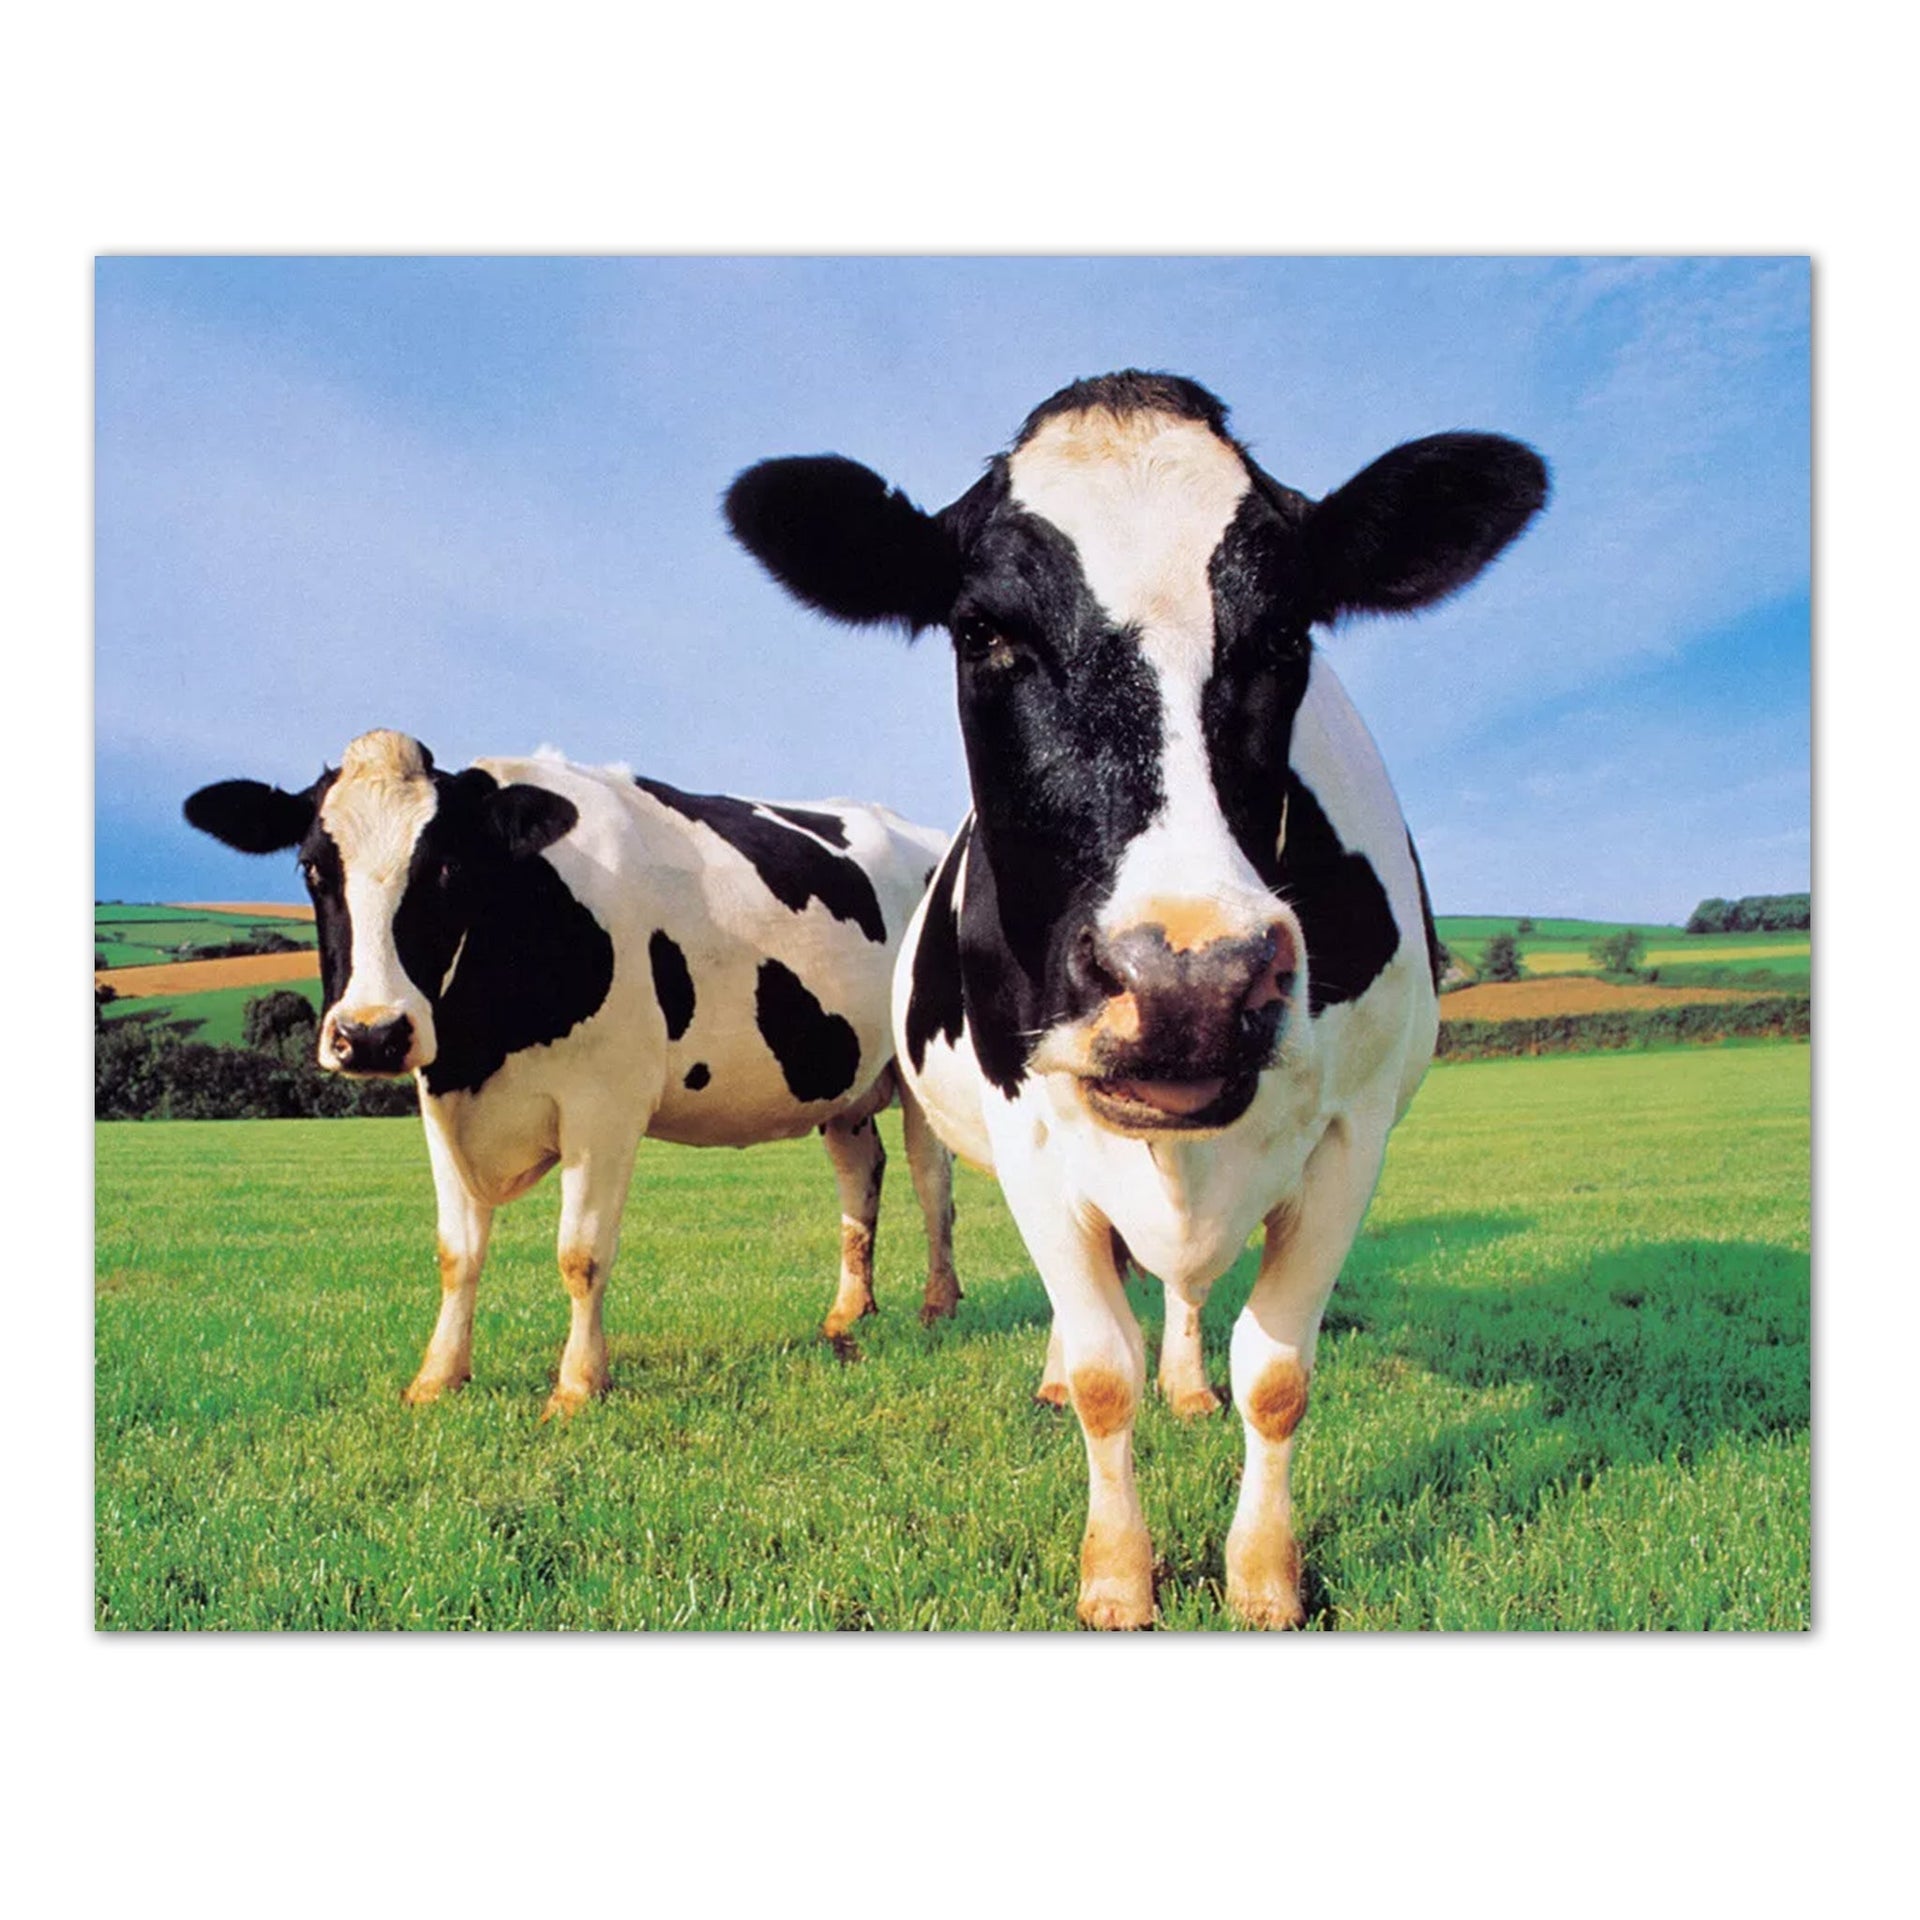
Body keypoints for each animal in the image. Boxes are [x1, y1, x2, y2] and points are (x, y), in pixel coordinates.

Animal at [184, 730, 959, 1416]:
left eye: (446, 869)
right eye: (314, 867)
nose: (370, 1034)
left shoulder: (605, 1104)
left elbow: (581, 1254)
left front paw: (579, 1386)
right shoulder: (441, 1098)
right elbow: (456, 1253)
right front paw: (437, 1378)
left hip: (921, 1074)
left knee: (932, 1185)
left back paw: (938, 1304)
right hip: (844, 1081)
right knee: (860, 1176)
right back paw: (848, 1313)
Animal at [725, 371, 1547, 1627]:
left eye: (1287, 632)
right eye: (984, 632)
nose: (1189, 982)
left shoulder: (1353, 1132)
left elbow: (1278, 1375)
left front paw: (1264, 1577)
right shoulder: (1029, 1130)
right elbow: (1106, 1368)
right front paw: (1116, 1577)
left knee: (1184, 1290)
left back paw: (1189, 1382)